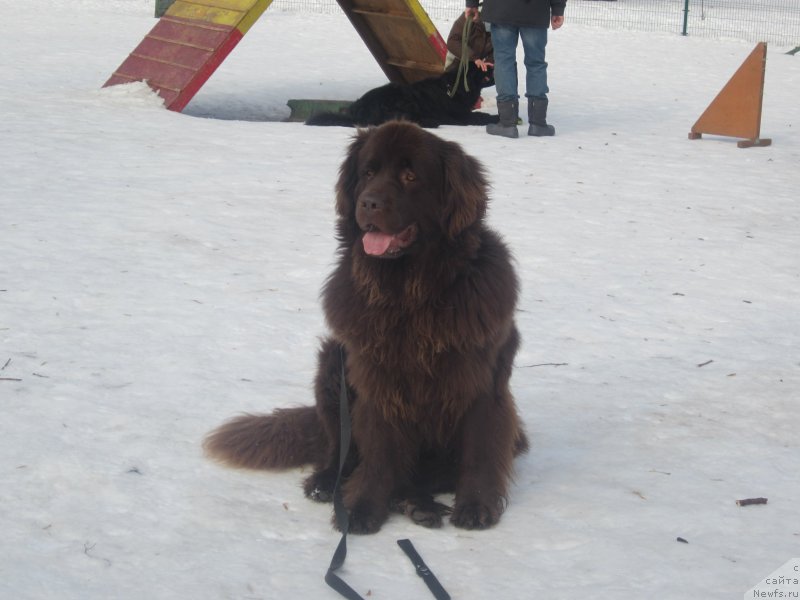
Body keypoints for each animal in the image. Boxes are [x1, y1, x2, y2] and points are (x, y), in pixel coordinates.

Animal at [206, 119, 528, 532]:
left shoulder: (481, 381)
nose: (369, 203)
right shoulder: (376, 380)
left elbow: (480, 450)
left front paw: (476, 506)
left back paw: (417, 503)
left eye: (410, 175)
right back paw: (333, 485)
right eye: (368, 173)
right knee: (339, 450)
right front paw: (361, 509)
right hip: (333, 363)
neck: (410, 294)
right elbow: (378, 452)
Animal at [304, 62, 496, 127]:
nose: (494, 65)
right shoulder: (460, 116)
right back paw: (429, 122)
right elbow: (480, 116)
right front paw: (495, 118)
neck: (455, 87)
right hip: (404, 99)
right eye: (483, 68)